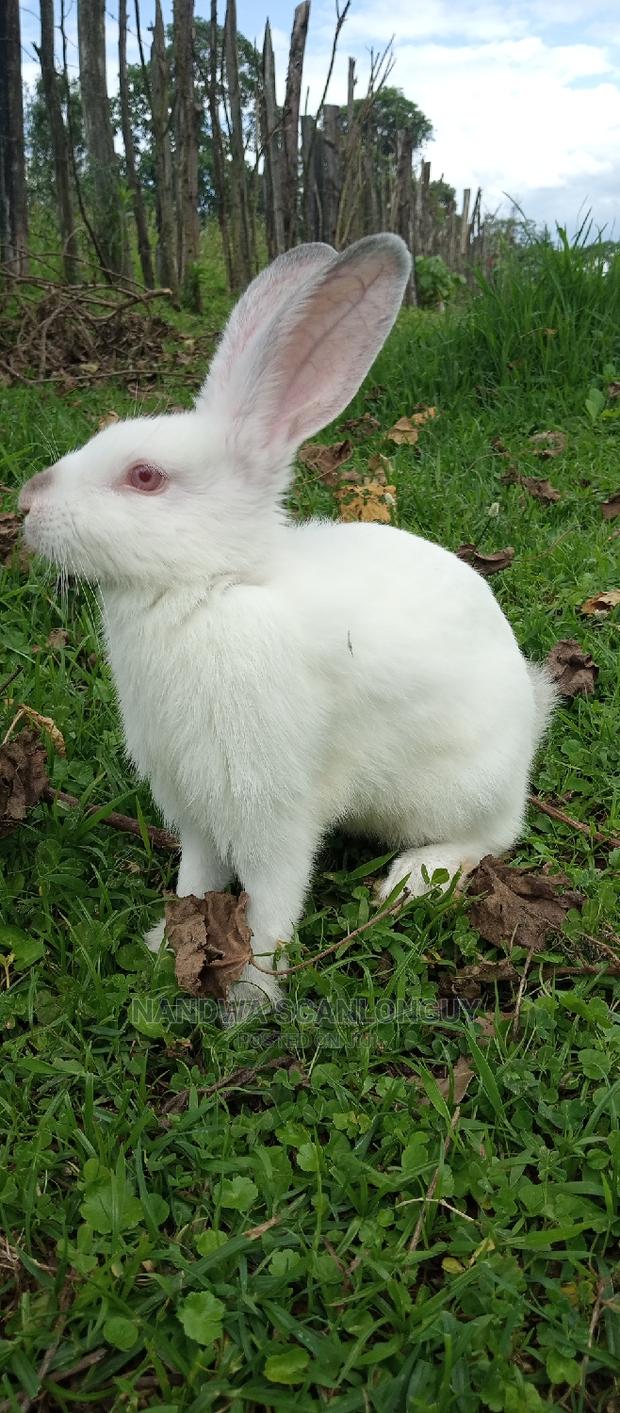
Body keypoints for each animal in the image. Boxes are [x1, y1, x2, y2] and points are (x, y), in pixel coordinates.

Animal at [19, 234, 554, 1015]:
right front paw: (165, 944)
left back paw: (412, 879)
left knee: (493, 836)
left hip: (462, 789)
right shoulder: (197, 808)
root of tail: (530, 713)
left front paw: (251, 996)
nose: (26, 504)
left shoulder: (273, 806)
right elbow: (197, 879)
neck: (212, 589)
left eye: (145, 477)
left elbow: (273, 895)